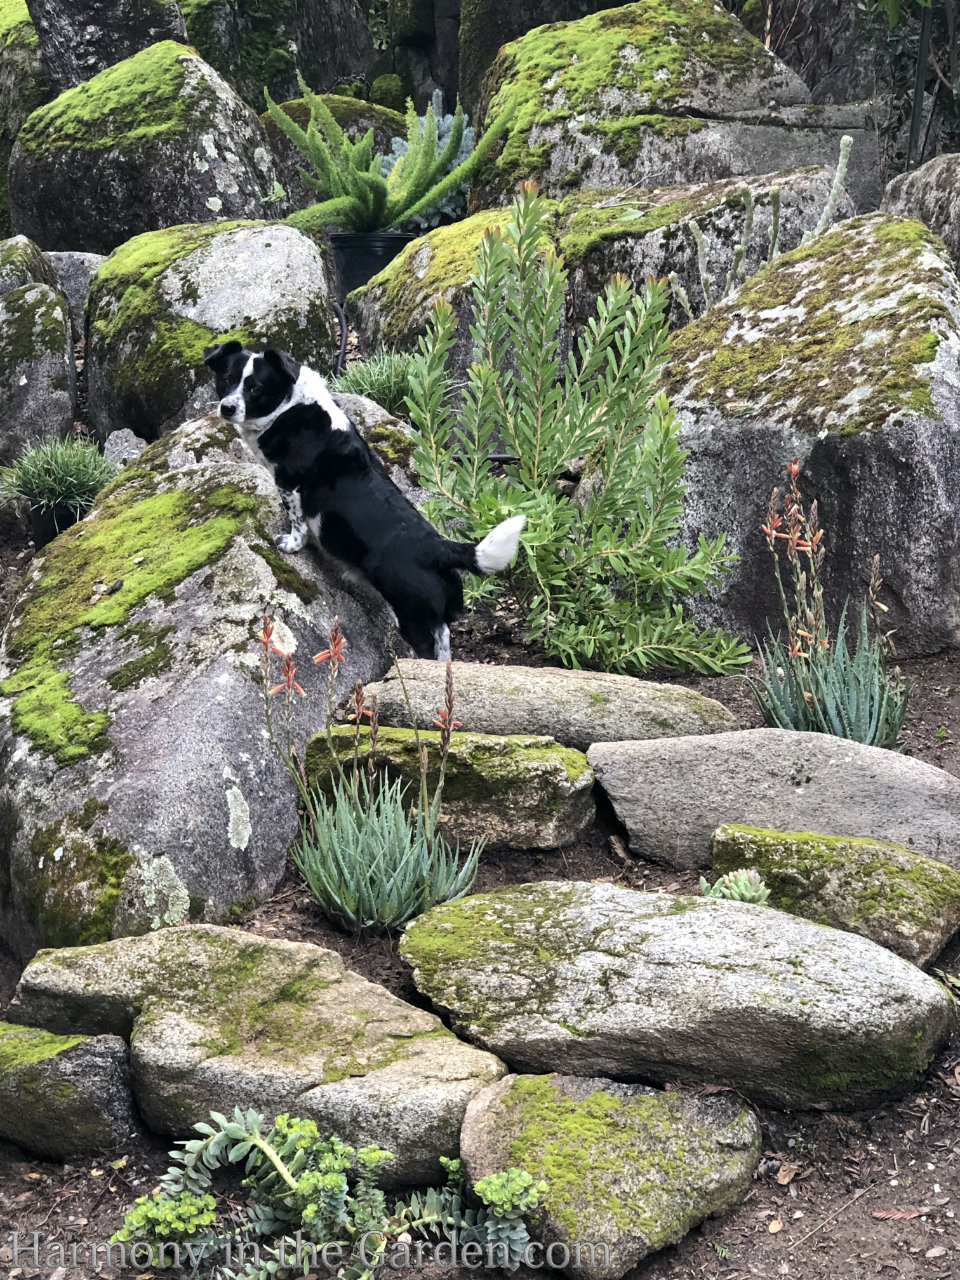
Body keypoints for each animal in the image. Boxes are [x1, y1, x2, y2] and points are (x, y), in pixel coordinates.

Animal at [203, 340, 529, 660]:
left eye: (255, 387)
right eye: (226, 380)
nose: (227, 408)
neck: (291, 405)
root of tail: (437, 548)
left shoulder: (289, 482)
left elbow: (297, 522)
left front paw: (292, 545)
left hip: (410, 615)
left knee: (425, 647)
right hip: (432, 616)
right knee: (445, 641)